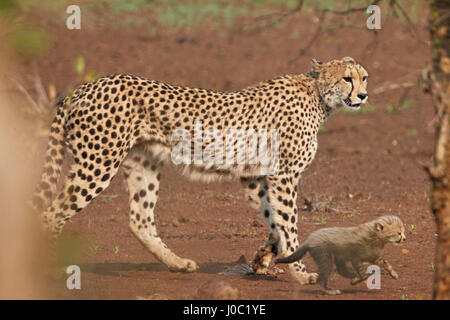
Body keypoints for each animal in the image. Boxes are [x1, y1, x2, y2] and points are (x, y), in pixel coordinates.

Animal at [33, 56, 368, 284]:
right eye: (347, 79)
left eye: (364, 77)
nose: (363, 95)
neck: (317, 95)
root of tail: (86, 86)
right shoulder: (282, 176)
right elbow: (289, 225)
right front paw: (300, 274)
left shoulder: (255, 177)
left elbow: (275, 221)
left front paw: (262, 260)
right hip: (97, 164)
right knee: (51, 214)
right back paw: (51, 270)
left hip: (144, 163)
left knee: (139, 220)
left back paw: (177, 263)